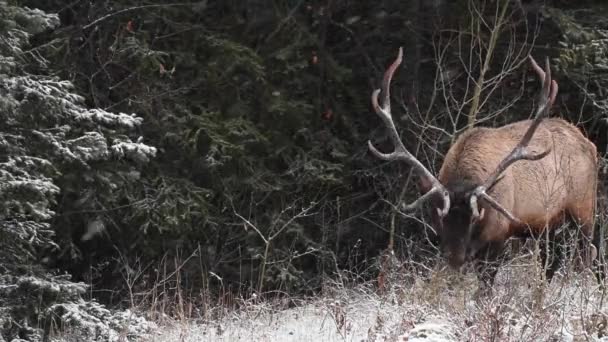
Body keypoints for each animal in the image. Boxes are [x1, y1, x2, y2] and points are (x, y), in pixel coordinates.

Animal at [368, 47, 600, 288]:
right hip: (550, 224)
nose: (455, 259)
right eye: (441, 217)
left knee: (588, 254)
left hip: (585, 207)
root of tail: (589, 144)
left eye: (473, 218)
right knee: (552, 261)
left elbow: (486, 285)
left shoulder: (499, 233)